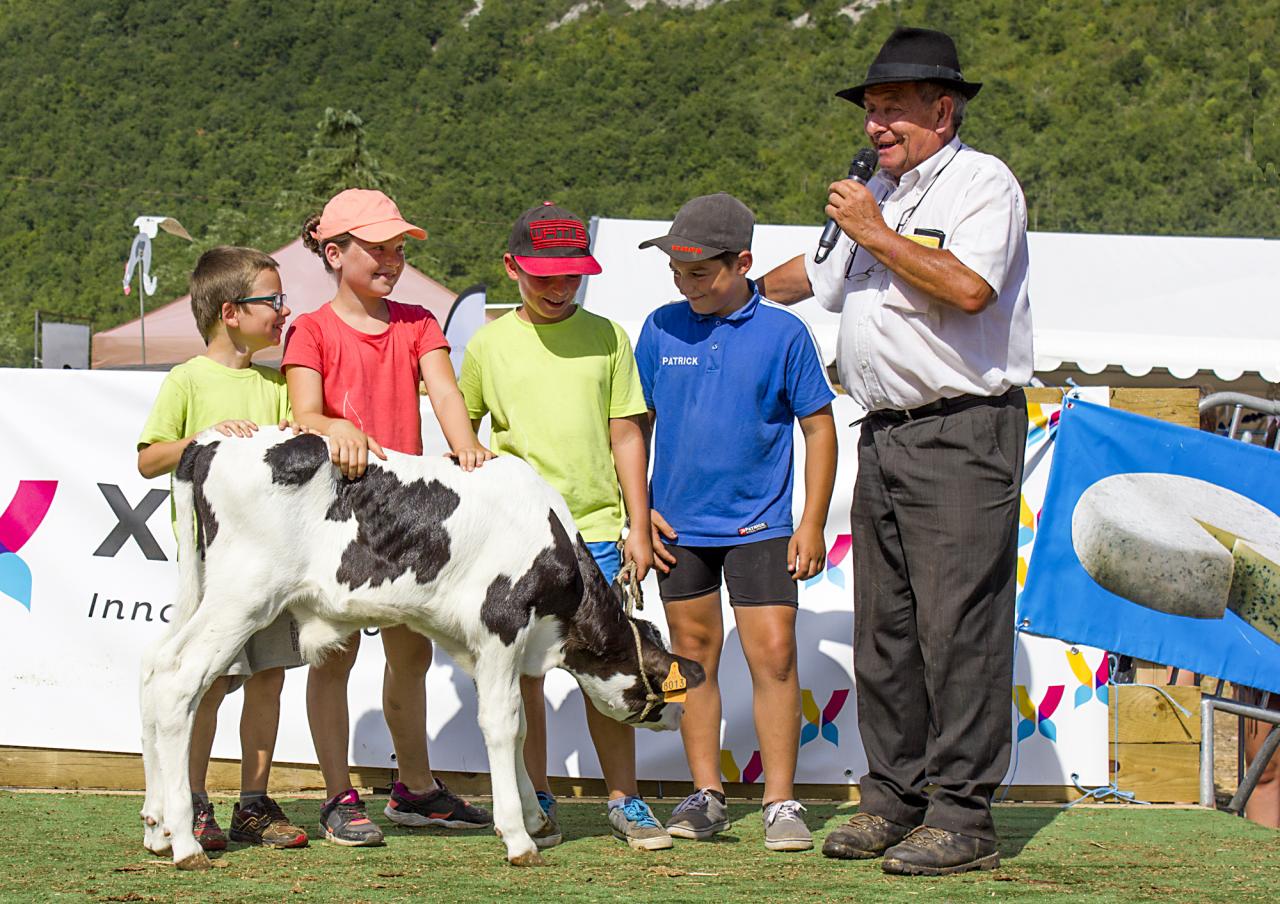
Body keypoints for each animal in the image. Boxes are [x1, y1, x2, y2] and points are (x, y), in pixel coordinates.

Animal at [140, 430, 706, 865]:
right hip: (242, 597)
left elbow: (519, 727)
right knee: (177, 683)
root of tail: (212, 441)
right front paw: (518, 836)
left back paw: (156, 828)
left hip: (204, 594)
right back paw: (186, 843)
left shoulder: (480, 646)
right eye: (663, 683)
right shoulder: (502, 622)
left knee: (152, 670)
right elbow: (502, 725)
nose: (680, 716)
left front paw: (532, 816)